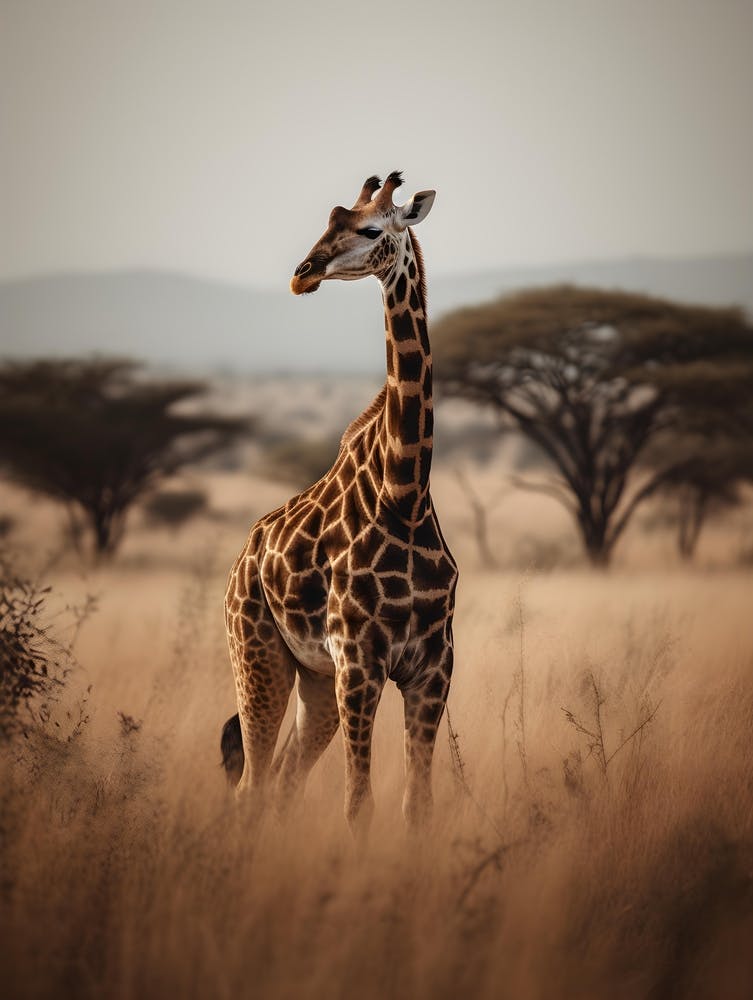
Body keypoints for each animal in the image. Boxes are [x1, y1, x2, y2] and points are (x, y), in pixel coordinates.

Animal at [222, 171, 458, 837]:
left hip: (314, 682)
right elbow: (360, 805)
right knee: (250, 786)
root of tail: (242, 558)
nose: (303, 273)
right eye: (329, 220)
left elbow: (417, 807)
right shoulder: (360, 663)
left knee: (281, 784)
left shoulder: (433, 669)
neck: (405, 495)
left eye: (372, 229)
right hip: (258, 656)